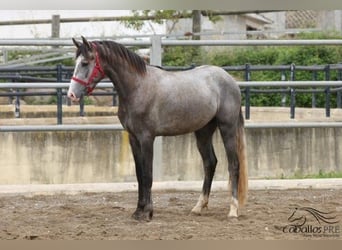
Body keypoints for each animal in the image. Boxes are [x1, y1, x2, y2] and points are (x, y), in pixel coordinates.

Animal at [67, 36, 248, 221]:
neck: (138, 87)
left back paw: (233, 210)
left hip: (227, 128)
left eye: (85, 63)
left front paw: (147, 212)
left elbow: (147, 175)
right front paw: (138, 211)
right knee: (210, 163)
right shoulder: (133, 138)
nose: (71, 94)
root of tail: (230, 80)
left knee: (234, 164)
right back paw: (198, 207)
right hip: (203, 132)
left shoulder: (147, 138)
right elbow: (139, 175)